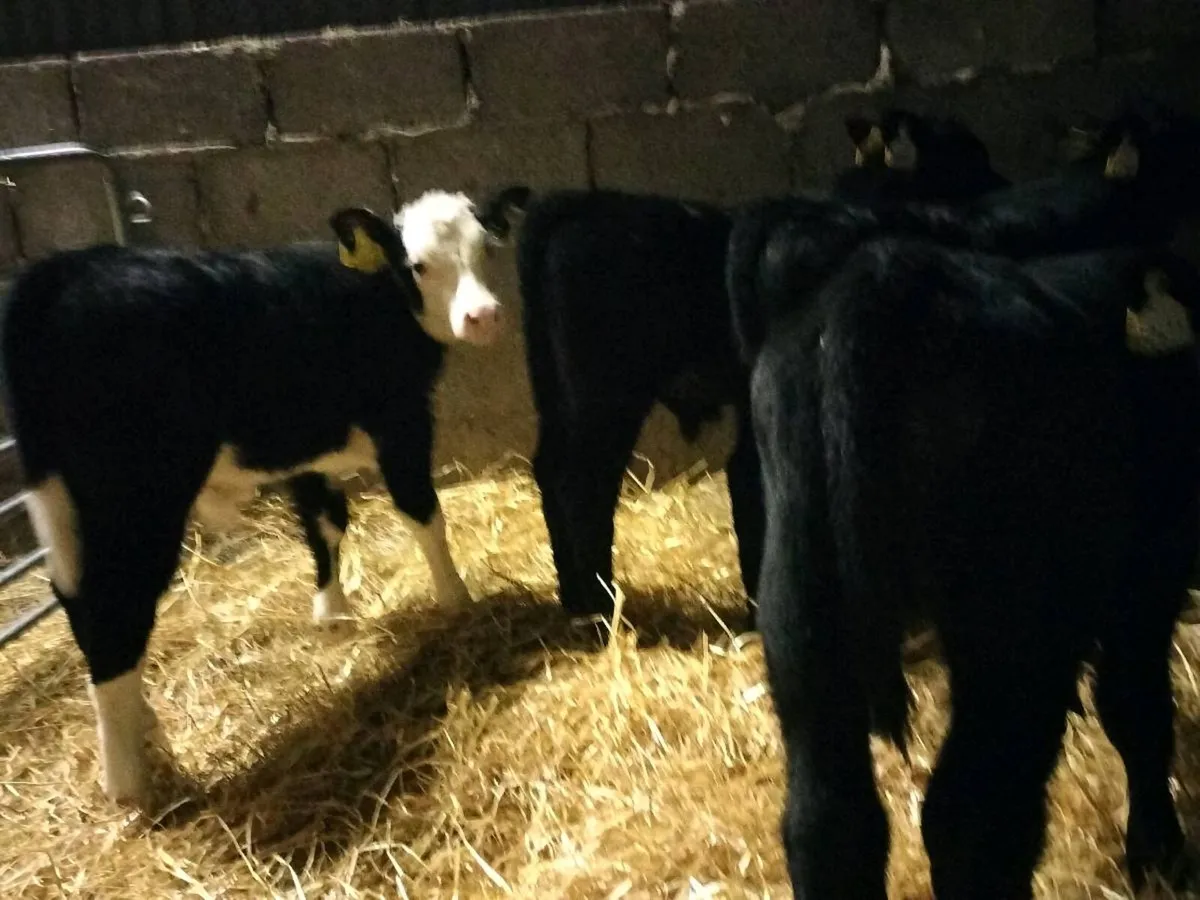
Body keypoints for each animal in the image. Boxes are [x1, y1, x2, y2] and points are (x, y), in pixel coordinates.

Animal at [0, 190, 508, 808]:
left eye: (486, 248)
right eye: (418, 265)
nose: (483, 317)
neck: (377, 298)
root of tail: (60, 271)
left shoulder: (308, 451)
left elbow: (325, 522)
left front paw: (333, 615)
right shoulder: (402, 420)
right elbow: (422, 515)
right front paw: (458, 601)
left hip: (59, 505)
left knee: (81, 604)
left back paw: (148, 737)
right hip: (136, 496)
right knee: (114, 609)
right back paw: (132, 784)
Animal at [476, 110, 1009, 622]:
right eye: (966, 157)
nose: (1005, 188)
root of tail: (576, 205)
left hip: (556, 389)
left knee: (549, 469)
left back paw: (573, 599)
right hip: (605, 396)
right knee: (583, 483)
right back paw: (600, 605)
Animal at [728, 110, 1200, 899]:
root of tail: (880, 291)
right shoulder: (1147, 568)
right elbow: (1137, 707)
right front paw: (1157, 850)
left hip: (802, 603)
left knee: (830, 818)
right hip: (1012, 621)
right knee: (974, 816)